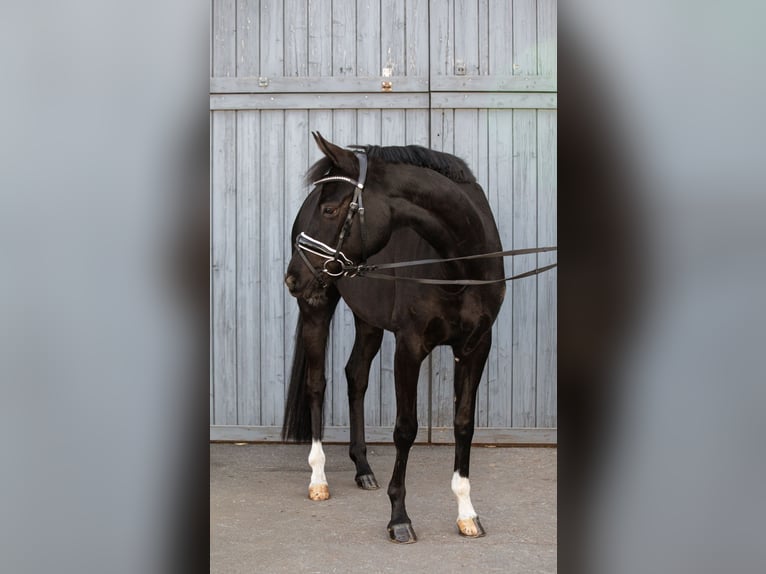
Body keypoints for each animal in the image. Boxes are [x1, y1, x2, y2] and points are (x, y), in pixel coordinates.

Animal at [282, 132, 507, 543]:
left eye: (330, 209)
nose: (293, 276)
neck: (460, 264)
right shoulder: (410, 345)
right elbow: (405, 429)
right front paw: (399, 518)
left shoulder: (476, 346)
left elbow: (463, 424)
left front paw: (467, 513)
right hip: (317, 306)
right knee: (316, 384)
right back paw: (318, 478)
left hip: (368, 321)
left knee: (355, 376)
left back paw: (363, 468)